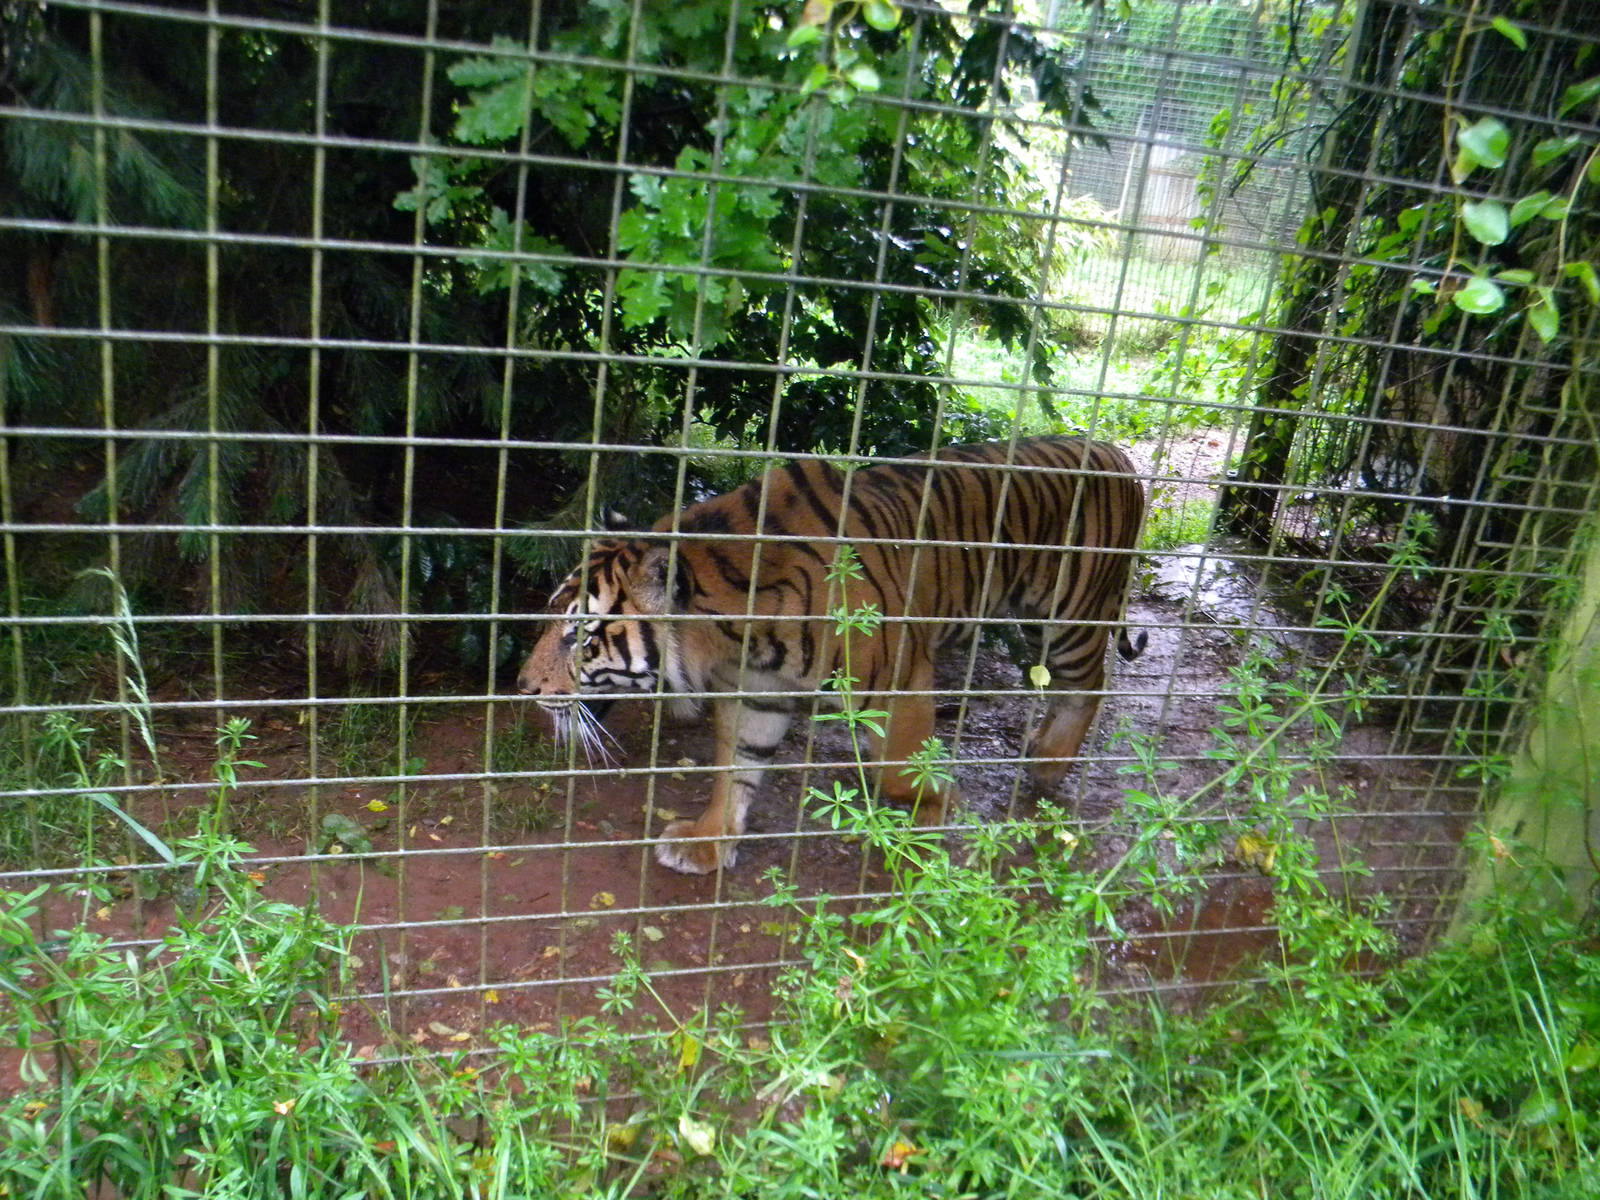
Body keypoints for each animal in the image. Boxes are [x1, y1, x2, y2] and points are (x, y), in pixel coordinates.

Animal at [517, 436, 1146, 875]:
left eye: (580, 636)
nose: (523, 687)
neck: (737, 631)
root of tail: (1115, 452)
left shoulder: (898, 680)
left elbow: (902, 770)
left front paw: (930, 814)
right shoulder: (757, 690)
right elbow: (736, 767)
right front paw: (708, 842)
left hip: (1071, 614)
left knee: (1093, 684)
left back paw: (1049, 763)